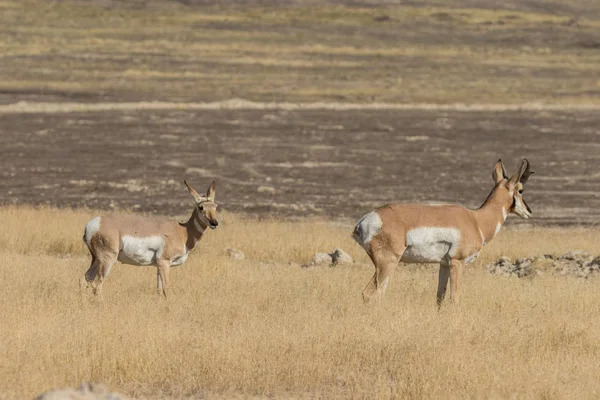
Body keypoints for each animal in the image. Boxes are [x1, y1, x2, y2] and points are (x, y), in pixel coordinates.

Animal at [81, 180, 218, 296]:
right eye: (201, 207)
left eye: (215, 206)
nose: (214, 223)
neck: (182, 231)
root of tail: (94, 223)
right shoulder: (164, 262)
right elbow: (166, 289)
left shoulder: (158, 266)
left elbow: (159, 290)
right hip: (107, 260)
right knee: (97, 285)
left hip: (96, 260)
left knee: (84, 280)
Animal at [352, 158, 536, 304]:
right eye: (521, 190)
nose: (529, 212)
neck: (476, 220)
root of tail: (366, 220)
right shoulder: (457, 262)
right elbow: (455, 297)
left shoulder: (444, 265)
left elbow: (439, 297)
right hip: (387, 263)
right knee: (368, 293)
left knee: (379, 293)